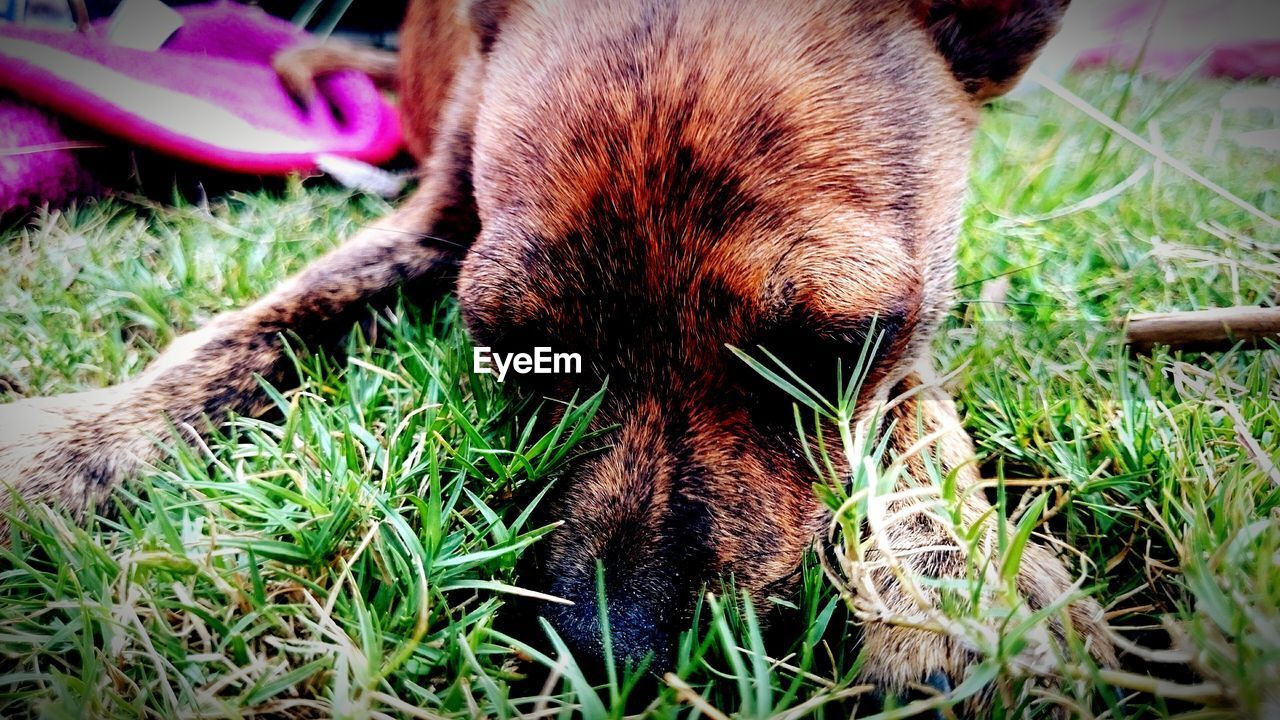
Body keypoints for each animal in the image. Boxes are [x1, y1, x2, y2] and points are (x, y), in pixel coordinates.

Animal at [0, 0, 1111, 702]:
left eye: (828, 349)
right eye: (514, 346)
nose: (607, 649)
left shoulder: (910, 314)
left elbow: (912, 412)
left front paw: (949, 578)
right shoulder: (432, 223)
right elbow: (272, 316)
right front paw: (71, 448)